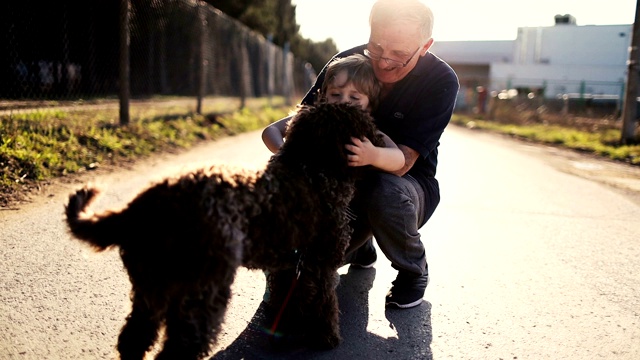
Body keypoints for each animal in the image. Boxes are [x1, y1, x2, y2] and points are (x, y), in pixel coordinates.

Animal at [65, 102, 384, 358]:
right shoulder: (320, 263)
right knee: (177, 348)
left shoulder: (291, 265)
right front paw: (326, 337)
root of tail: (146, 204)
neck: (309, 167)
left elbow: (291, 298)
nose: (383, 140)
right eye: (365, 125)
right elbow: (324, 302)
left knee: (134, 338)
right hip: (201, 292)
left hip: (152, 287)